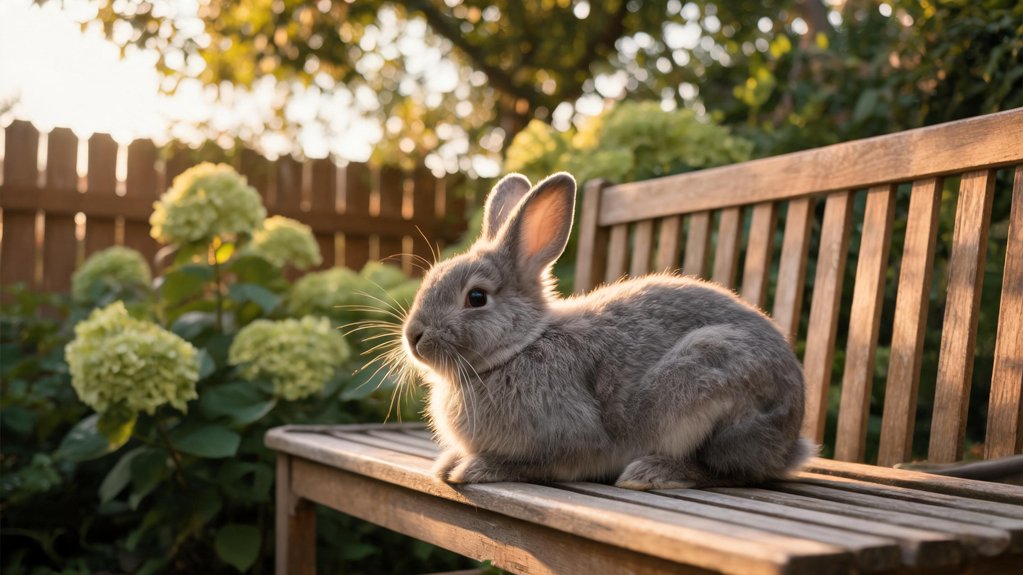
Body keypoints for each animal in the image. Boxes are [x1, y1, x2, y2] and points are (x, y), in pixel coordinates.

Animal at [402, 172, 815, 490]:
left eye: (476, 297)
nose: (413, 337)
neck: (521, 346)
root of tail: (790, 441)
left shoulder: (568, 438)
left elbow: (535, 463)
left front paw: (472, 468)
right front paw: (447, 464)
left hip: (709, 378)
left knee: (731, 471)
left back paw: (652, 473)